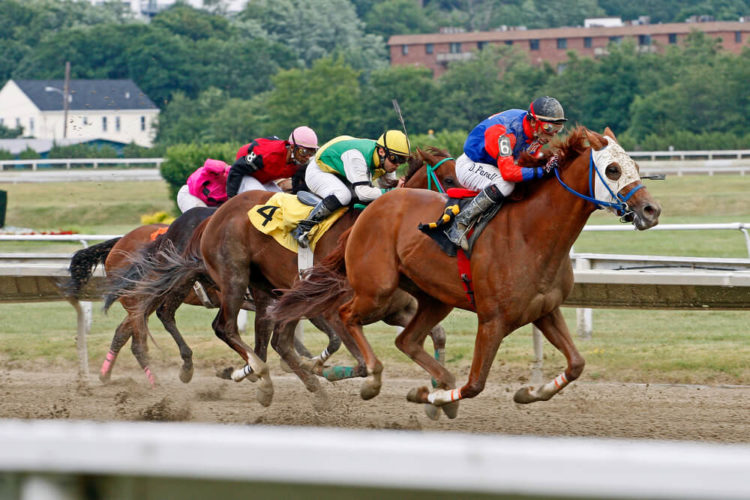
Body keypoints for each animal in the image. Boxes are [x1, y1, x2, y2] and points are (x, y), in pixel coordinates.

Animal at [121, 147, 462, 410]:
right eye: (448, 179)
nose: (461, 211)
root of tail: (213, 216)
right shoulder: (332, 311)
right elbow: (360, 360)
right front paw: (325, 372)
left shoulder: (396, 310)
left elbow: (438, 333)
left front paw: (439, 386)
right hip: (234, 278)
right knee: (221, 326)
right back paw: (258, 378)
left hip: (267, 290)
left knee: (273, 340)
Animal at [270, 127, 664, 416]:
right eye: (612, 170)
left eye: (634, 165)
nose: (651, 210)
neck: (532, 233)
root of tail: (371, 209)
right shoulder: (492, 320)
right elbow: (475, 384)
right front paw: (432, 397)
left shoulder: (545, 310)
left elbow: (577, 363)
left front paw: (526, 392)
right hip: (376, 289)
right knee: (345, 314)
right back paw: (366, 379)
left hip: (434, 298)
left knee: (407, 340)